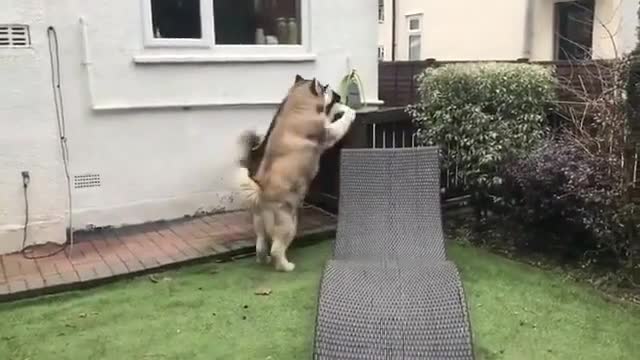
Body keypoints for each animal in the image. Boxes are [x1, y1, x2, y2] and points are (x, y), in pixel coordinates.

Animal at [234, 76, 356, 272]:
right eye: (325, 88)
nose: (338, 95)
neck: (298, 108)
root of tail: (261, 194)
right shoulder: (327, 132)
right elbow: (338, 124)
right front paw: (350, 112)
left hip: (259, 225)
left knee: (260, 246)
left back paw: (264, 260)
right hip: (289, 224)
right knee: (277, 248)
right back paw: (286, 266)